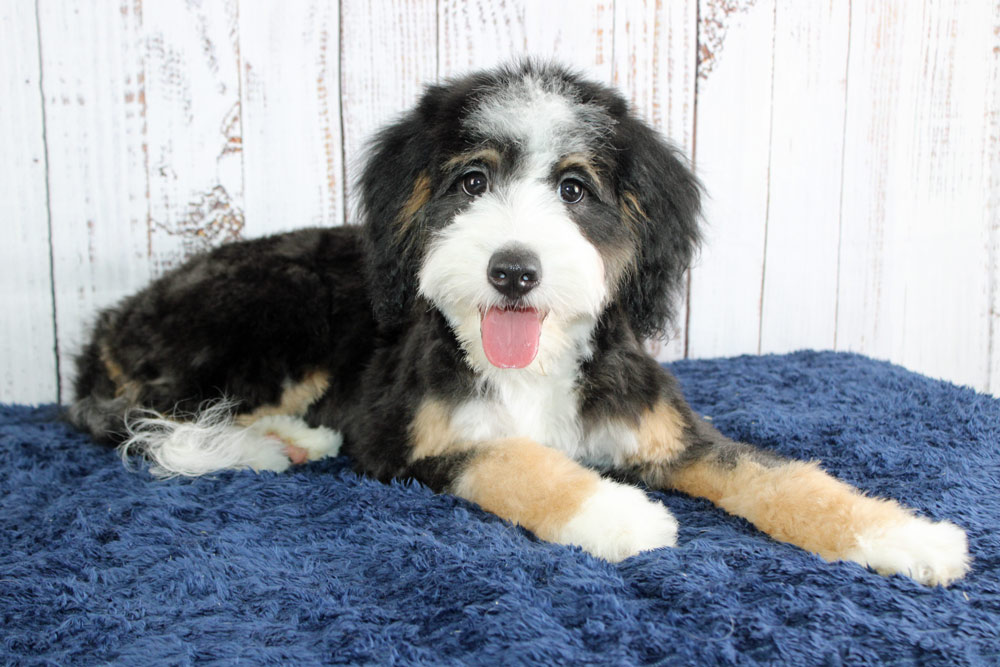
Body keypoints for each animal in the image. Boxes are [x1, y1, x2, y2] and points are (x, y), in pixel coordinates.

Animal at [70, 61, 969, 586]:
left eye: (574, 188)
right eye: (472, 180)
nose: (513, 269)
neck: (533, 365)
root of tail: (115, 316)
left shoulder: (670, 431)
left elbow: (778, 475)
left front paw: (905, 535)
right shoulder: (412, 438)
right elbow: (517, 460)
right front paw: (616, 513)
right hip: (273, 311)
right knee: (157, 419)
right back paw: (275, 443)